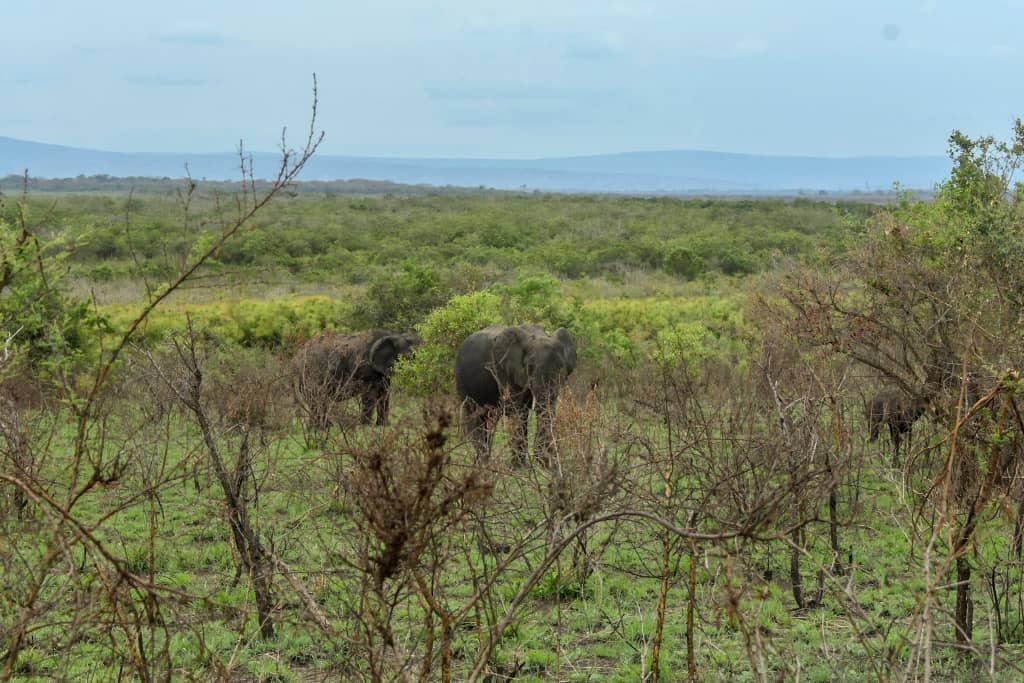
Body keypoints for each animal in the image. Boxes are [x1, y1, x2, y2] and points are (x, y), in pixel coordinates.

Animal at [456, 325, 577, 464]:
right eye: (530, 367)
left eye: (561, 367)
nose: (543, 459)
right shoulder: (504, 371)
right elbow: (519, 412)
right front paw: (519, 467)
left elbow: (548, 410)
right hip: (462, 380)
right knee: (476, 418)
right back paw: (482, 462)